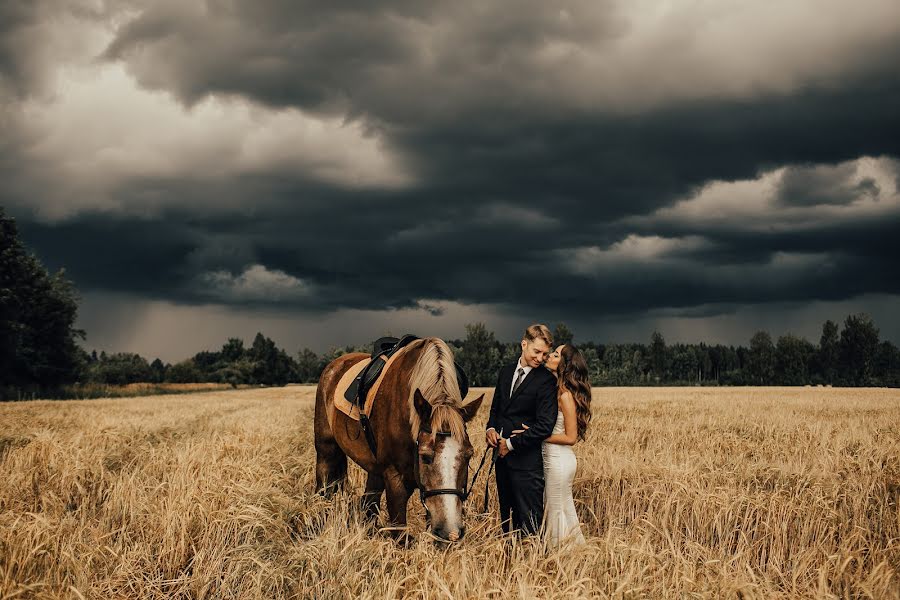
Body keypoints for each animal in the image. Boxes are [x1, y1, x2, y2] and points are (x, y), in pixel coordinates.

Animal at [314, 338, 486, 544]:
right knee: (323, 489)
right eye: (425, 456)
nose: (451, 532)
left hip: (374, 469)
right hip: (326, 451)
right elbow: (399, 532)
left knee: (369, 502)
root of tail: (333, 365)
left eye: (469, 455)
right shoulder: (394, 478)